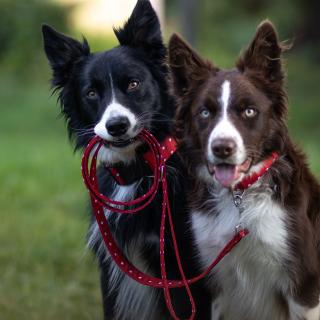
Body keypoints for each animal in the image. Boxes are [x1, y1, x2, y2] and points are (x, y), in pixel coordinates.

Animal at [43, 0, 212, 320]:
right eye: (91, 93)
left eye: (133, 84)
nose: (117, 125)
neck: (138, 171)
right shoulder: (112, 267)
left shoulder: (182, 268)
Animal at [169, 21, 320, 318]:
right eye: (205, 113)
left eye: (249, 111)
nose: (222, 148)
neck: (239, 196)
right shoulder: (215, 280)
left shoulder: (303, 285)